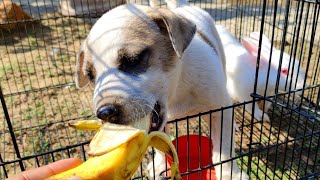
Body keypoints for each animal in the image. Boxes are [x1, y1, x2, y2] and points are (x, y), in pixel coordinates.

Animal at [75, 0, 248, 179]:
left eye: (133, 60)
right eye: (90, 76)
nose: (104, 113)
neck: (176, 91)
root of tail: (181, 8)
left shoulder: (219, 111)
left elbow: (224, 149)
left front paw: (229, 174)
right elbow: (159, 143)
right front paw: (159, 164)